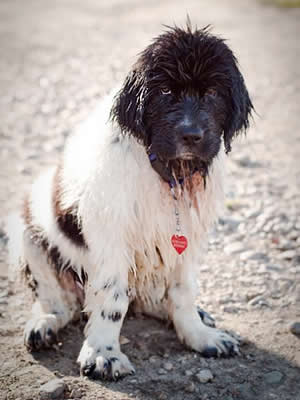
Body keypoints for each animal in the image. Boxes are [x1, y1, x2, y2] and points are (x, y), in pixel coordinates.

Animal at [5, 23, 252, 380]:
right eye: (165, 92)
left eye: (212, 93)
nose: (191, 135)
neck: (167, 171)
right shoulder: (111, 234)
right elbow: (112, 297)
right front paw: (103, 354)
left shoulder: (188, 236)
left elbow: (182, 289)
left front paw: (198, 335)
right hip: (28, 233)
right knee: (60, 301)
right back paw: (44, 324)